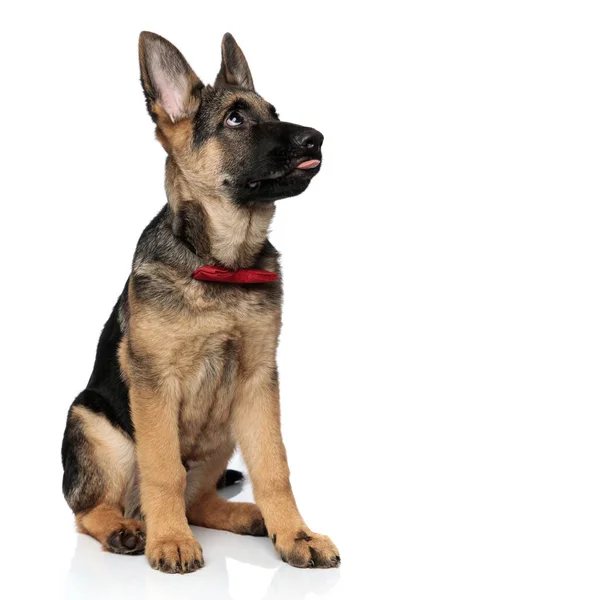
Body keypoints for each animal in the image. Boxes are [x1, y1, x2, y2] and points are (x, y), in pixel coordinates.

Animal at [61, 31, 342, 572]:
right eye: (235, 119)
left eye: (274, 111)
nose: (316, 138)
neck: (223, 265)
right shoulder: (153, 383)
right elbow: (163, 469)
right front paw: (170, 540)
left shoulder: (258, 382)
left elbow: (274, 466)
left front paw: (295, 533)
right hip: (94, 424)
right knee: (89, 510)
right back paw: (128, 530)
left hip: (224, 430)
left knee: (200, 501)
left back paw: (247, 517)